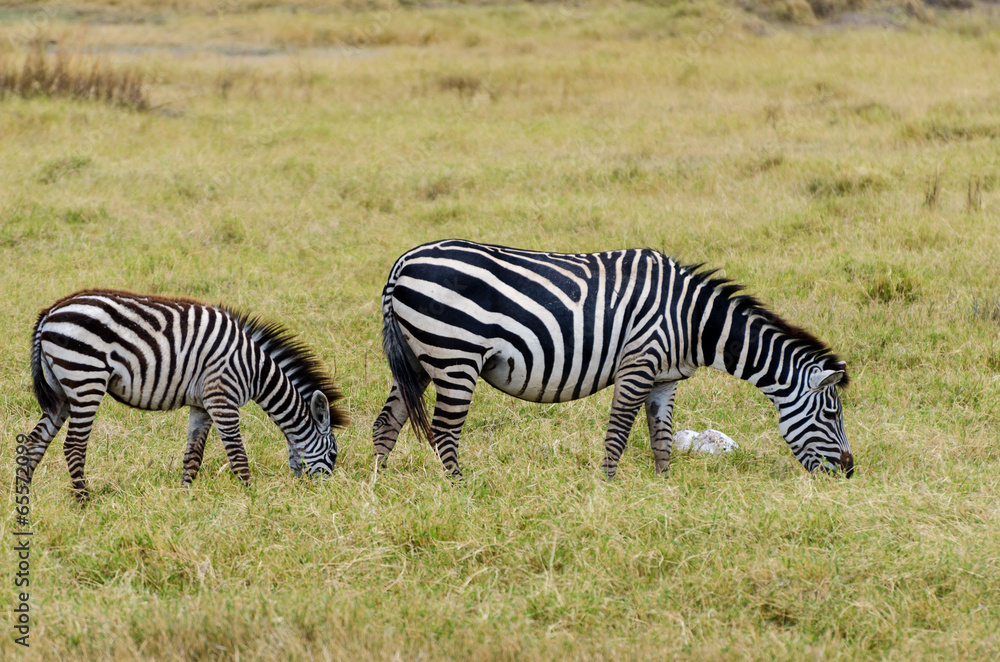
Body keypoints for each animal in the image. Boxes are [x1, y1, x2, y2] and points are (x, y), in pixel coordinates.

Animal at [21, 289, 346, 501]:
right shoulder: (222, 398)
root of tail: (51, 311)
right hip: (86, 378)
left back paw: (24, 498)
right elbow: (237, 455)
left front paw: (185, 498)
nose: (327, 495)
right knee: (74, 445)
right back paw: (84, 501)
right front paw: (250, 499)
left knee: (35, 441)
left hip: (62, 391)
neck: (255, 370)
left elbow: (194, 455)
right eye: (333, 455)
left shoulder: (202, 405)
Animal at [373, 239, 853, 479]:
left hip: (416, 359)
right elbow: (619, 433)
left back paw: (379, 486)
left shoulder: (664, 378)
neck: (693, 321)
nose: (849, 472)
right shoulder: (638, 363)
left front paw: (664, 487)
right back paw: (462, 488)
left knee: (386, 422)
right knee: (444, 430)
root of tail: (402, 263)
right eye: (831, 414)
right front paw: (608, 486)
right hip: (455, 355)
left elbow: (662, 435)